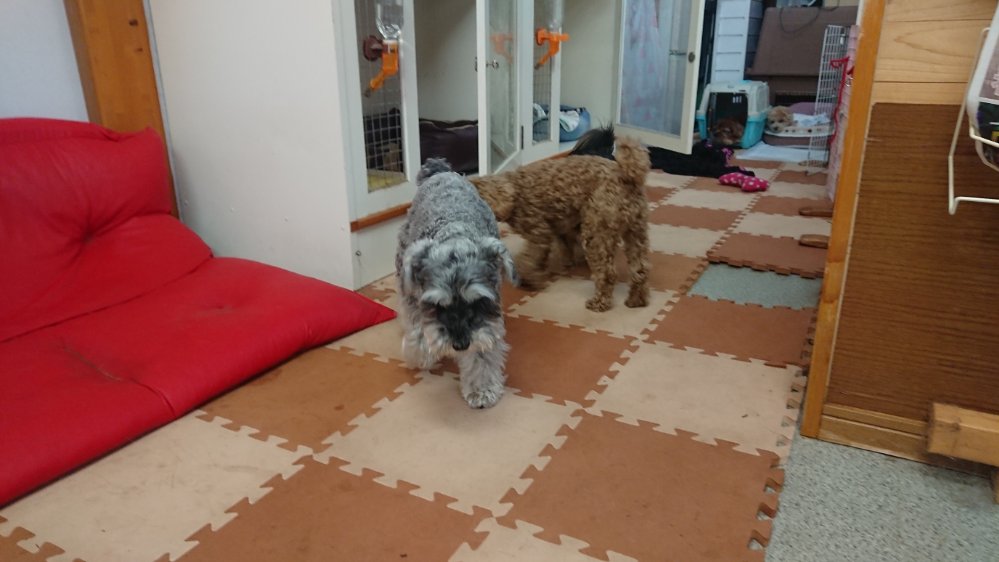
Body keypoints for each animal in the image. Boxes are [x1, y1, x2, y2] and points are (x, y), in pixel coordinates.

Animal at [396, 158, 517, 409]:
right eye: (438, 305)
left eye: (478, 302)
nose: (460, 345)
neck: (455, 236)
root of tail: (442, 172)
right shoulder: (412, 296)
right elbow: (416, 330)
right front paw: (420, 354)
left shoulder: (488, 319)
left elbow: (483, 354)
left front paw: (482, 389)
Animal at [471, 132, 651, 312]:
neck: (513, 192)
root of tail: (627, 176)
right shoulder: (559, 228)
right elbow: (555, 251)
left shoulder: (539, 233)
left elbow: (527, 260)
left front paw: (530, 280)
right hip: (635, 231)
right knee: (640, 269)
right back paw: (636, 300)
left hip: (597, 232)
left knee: (607, 274)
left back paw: (599, 303)